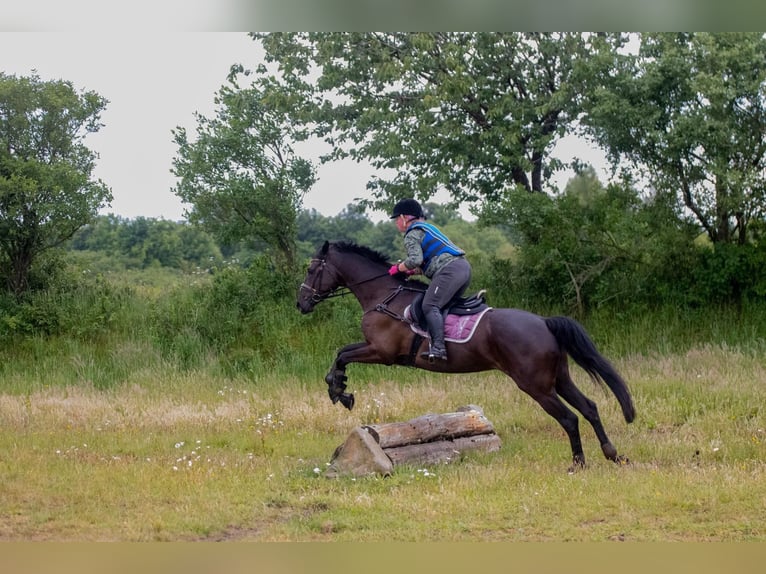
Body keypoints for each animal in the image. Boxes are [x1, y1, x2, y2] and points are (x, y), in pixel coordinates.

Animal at [296, 241, 640, 470]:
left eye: (312, 269)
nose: (301, 304)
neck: (383, 295)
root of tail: (544, 322)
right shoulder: (375, 350)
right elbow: (341, 353)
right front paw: (340, 389)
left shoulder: (382, 351)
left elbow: (342, 355)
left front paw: (339, 390)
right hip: (559, 378)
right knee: (590, 408)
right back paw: (613, 454)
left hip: (535, 385)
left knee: (569, 418)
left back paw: (578, 463)